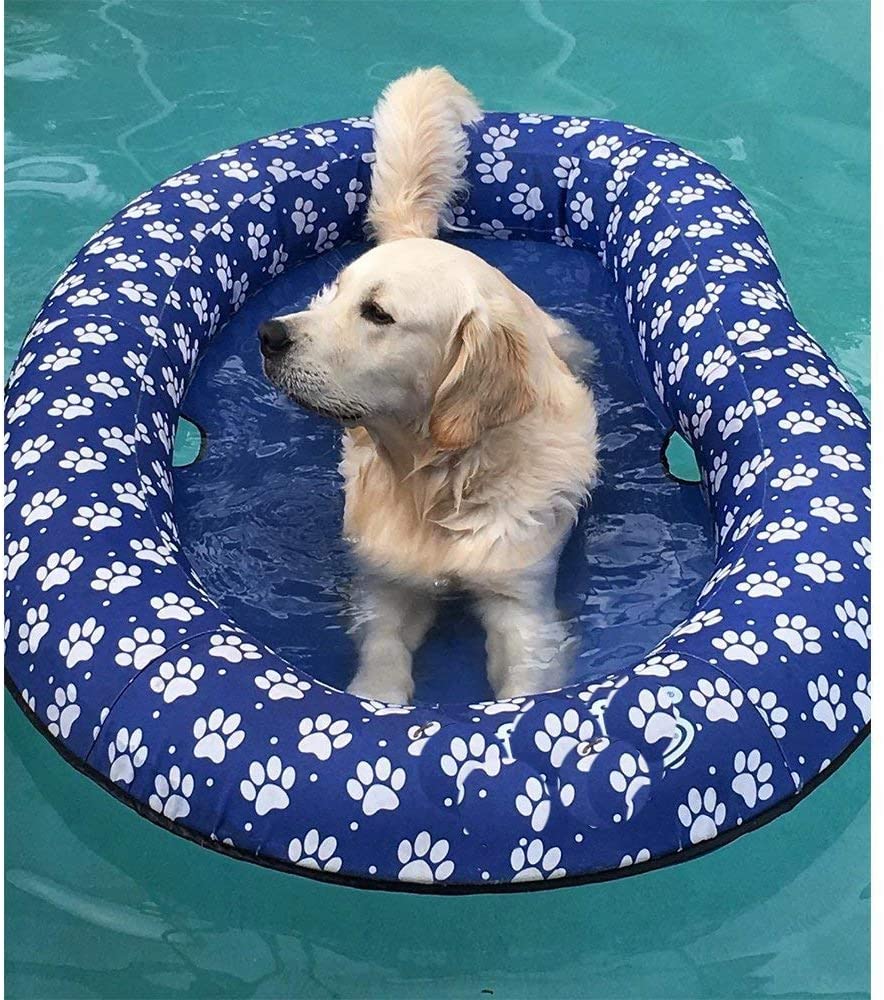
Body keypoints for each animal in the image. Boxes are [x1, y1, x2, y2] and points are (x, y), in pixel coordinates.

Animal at [258, 68, 596, 704]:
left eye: (378, 313)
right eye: (337, 294)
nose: (268, 335)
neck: (441, 486)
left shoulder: (521, 598)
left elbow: (522, 676)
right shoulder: (387, 581)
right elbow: (385, 648)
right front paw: (378, 697)